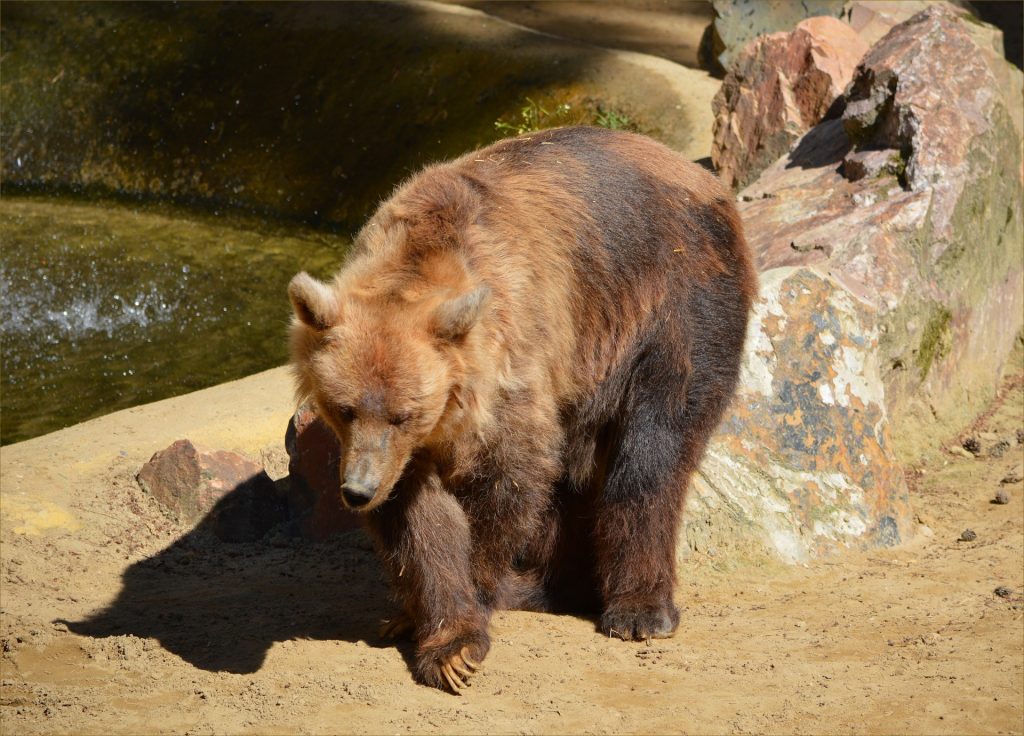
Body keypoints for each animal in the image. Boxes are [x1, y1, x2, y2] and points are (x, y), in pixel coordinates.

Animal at [287, 126, 757, 693]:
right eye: (343, 409)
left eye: (404, 413)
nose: (358, 491)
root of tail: (701, 173)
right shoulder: (409, 448)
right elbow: (417, 519)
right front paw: (431, 630)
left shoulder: (516, 357)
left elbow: (508, 482)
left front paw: (463, 622)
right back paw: (550, 585)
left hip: (672, 298)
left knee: (654, 447)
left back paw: (639, 609)